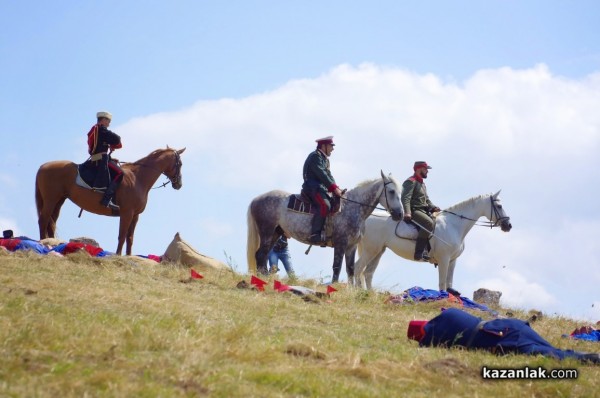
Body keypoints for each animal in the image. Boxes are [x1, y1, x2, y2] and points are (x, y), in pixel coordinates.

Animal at [35, 147, 185, 255]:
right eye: (180, 164)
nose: (179, 184)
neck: (138, 178)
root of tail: (43, 166)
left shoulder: (135, 216)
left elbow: (130, 238)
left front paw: (129, 256)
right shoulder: (126, 213)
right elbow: (122, 235)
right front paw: (118, 255)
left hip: (59, 201)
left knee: (52, 222)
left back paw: (54, 242)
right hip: (50, 200)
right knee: (43, 220)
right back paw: (43, 242)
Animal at [246, 171, 406, 282]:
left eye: (400, 191)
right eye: (391, 191)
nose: (400, 214)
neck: (353, 207)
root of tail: (256, 199)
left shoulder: (351, 246)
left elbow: (350, 269)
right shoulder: (340, 244)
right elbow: (337, 267)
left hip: (275, 233)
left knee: (262, 255)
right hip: (267, 232)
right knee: (260, 255)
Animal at [354, 191, 512, 290]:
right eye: (499, 206)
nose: (508, 225)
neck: (454, 225)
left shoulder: (452, 261)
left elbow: (449, 283)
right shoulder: (444, 259)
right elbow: (442, 283)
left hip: (378, 251)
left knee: (368, 273)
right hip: (371, 250)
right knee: (358, 268)